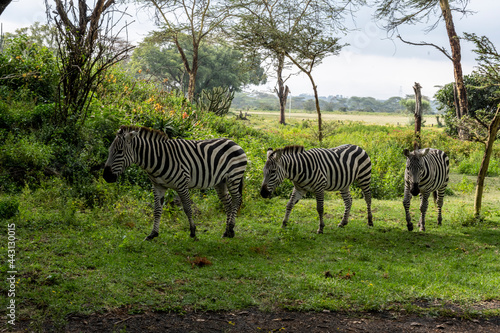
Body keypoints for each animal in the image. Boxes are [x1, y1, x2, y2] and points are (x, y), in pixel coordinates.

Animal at [103, 124, 248, 239]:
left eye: (119, 151)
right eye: (110, 151)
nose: (106, 176)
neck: (158, 158)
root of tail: (233, 142)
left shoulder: (182, 185)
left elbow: (188, 209)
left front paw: (193, 232)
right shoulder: (158, 186)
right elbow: (157, 210)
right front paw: (153, 234)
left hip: (234, 177)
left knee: (237, 199)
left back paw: (231, 228)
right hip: (220, 182)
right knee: (228, 203)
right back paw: (227, 232)